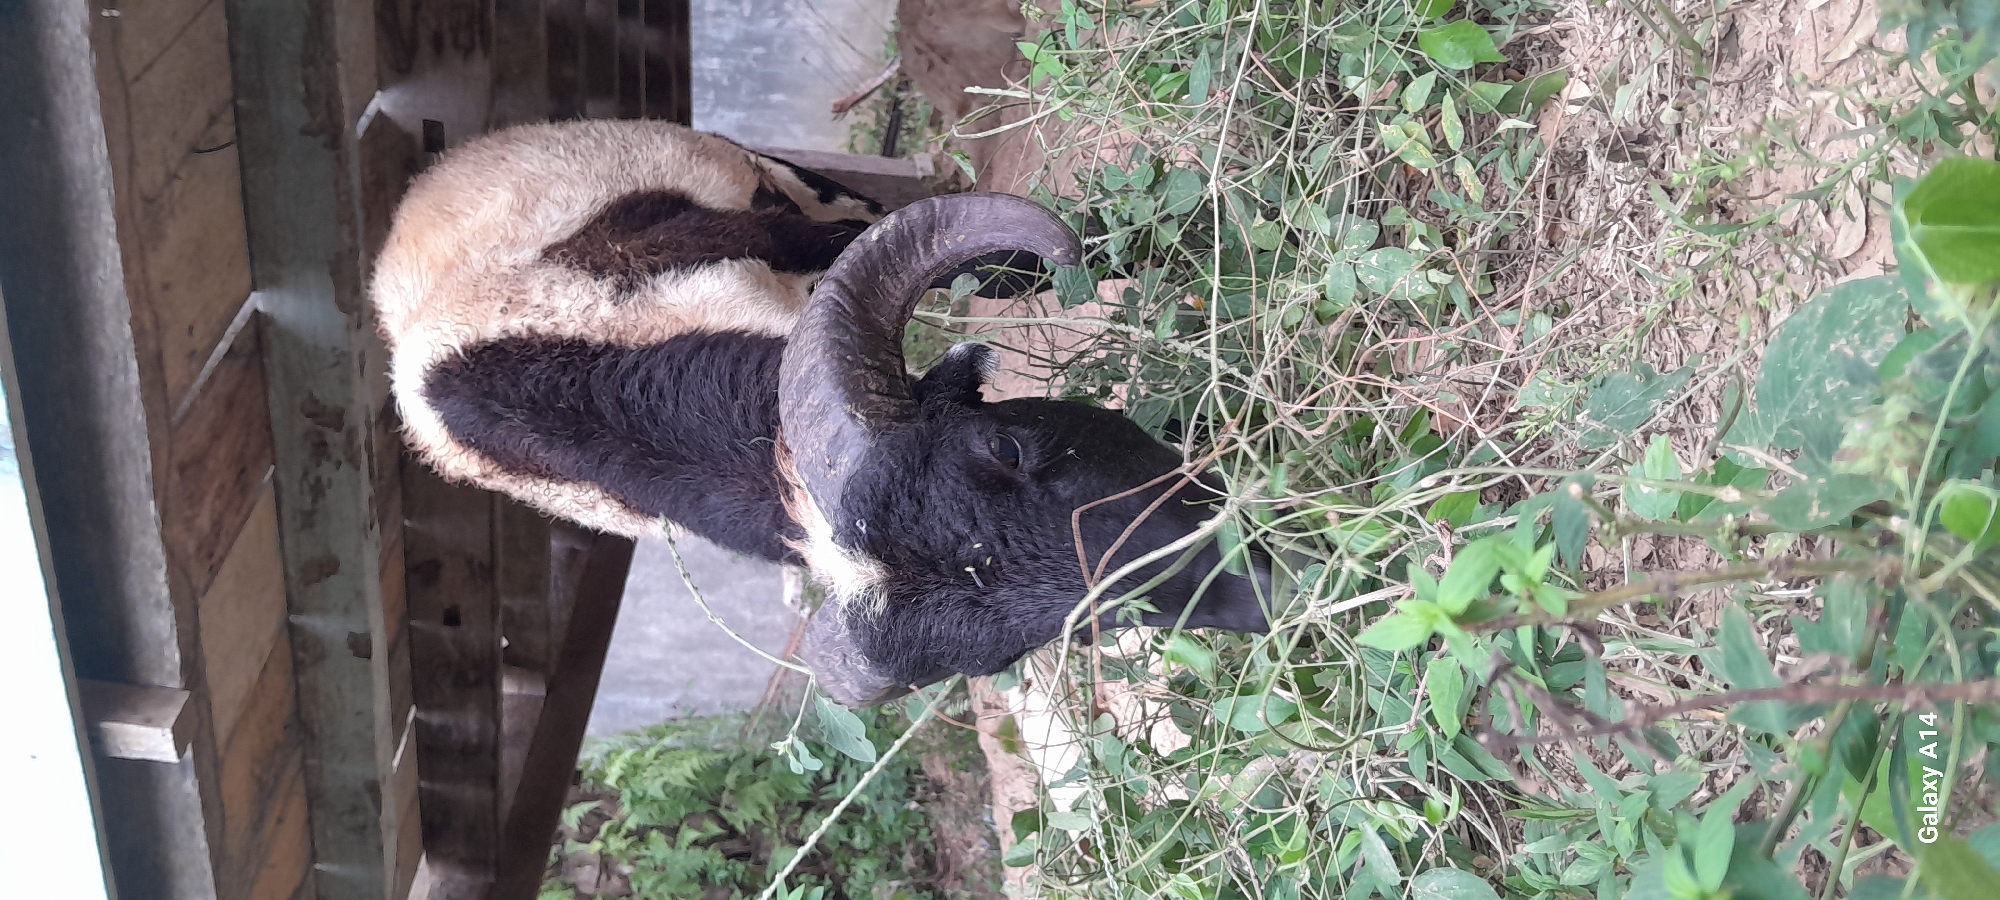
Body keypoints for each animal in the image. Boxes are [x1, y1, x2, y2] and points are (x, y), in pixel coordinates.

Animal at [372, 118, 1270, 707]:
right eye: (1018, 649)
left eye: (1006, 447)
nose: (1251, 593)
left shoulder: (781, 231)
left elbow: (1005, 271)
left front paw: (1199, 240)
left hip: (773, 172)